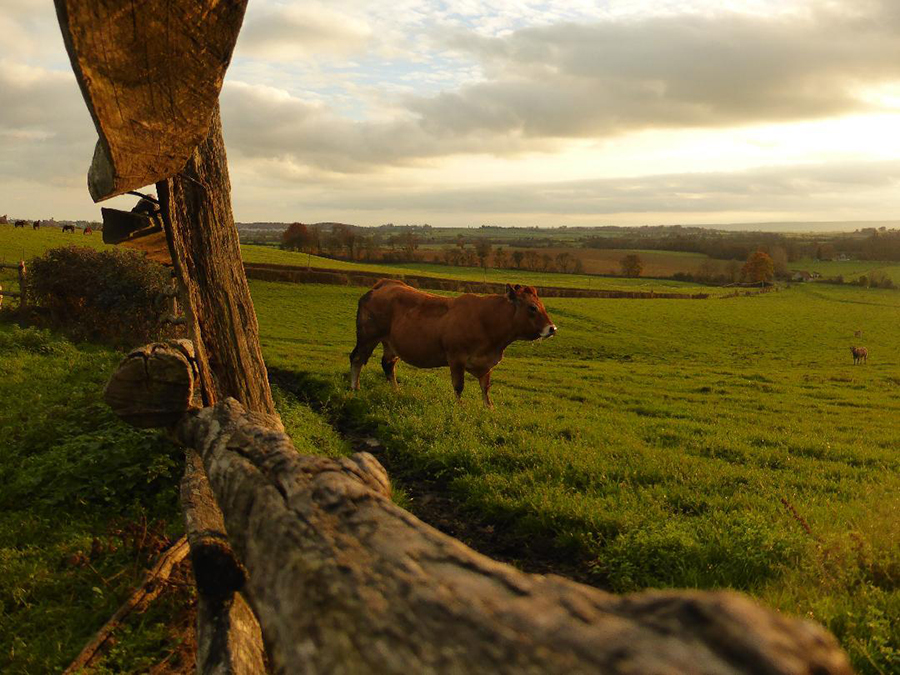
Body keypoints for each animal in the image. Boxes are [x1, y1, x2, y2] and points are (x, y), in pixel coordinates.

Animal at [350, 278, 556, 406]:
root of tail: (383, 284)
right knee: (357, 358)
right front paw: (459, 406)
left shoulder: (486, 363)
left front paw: (489, 408)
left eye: (542, 305)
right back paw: (354, 388)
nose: (552, 328)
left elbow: (485, 387)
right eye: (532, 307)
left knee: (388, 364)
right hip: (368, 337)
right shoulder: (456, 358)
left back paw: (396, 391)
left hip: (390, 342)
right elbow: (459, 386)